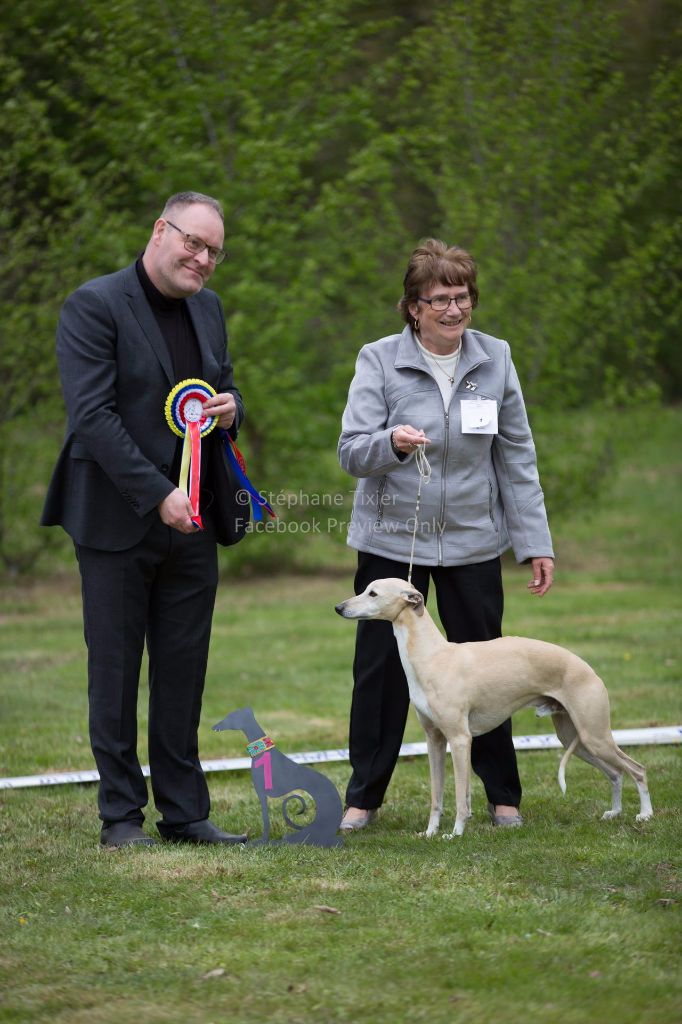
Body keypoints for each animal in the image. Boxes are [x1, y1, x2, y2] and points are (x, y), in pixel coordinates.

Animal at [335, 581, 655, 835]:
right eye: (365, 589)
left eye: (373, 593)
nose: (339, 607)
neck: (433, 656)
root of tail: (589, 669)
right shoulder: (434, 740)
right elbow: (437, 797)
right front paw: (429, 833)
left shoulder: (460, 739)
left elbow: (461, 796)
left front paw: (455, 834)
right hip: (574, 736)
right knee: (615, 773)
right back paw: (614, 812)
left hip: (594, 734)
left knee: (636, 769)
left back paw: (645, 814)